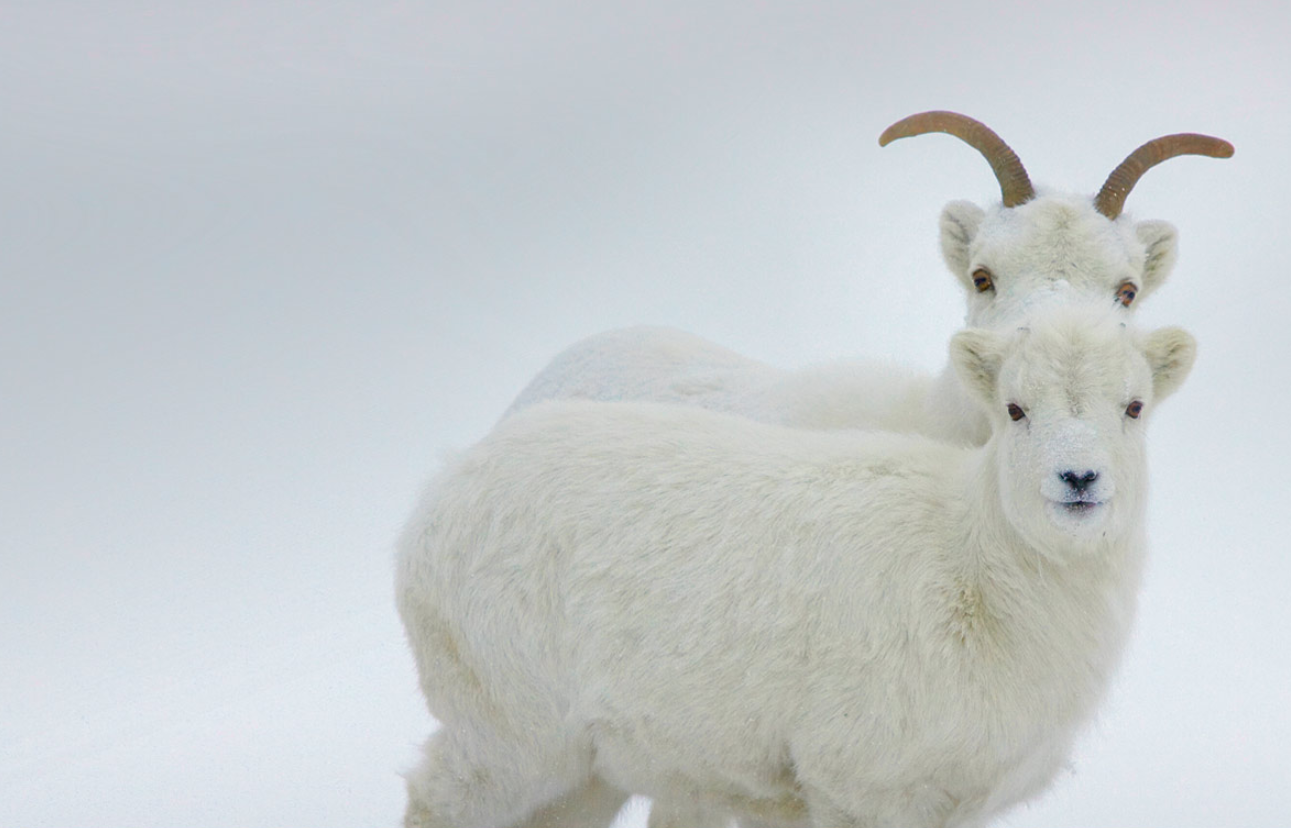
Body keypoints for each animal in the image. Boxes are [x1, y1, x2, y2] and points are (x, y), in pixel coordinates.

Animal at [395, 303, 1198, 826]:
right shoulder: (859, 786)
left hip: (581, 765)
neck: (973, 568)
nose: (1078, 479)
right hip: (507, 731)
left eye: (1133, 407)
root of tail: (441, 488)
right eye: (1014, 409)